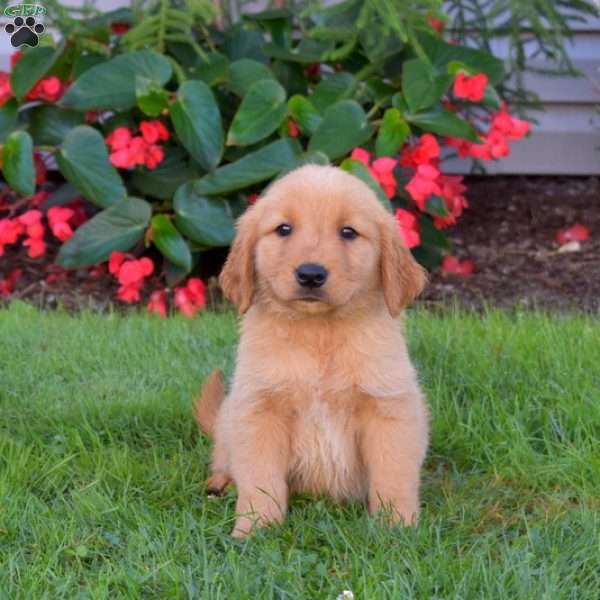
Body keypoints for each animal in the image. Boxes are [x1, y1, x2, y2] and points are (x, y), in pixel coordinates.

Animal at [195, 165, 428, 540]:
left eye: (348, 232)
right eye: (283, 229)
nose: (310, 274)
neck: (319, 333)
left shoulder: (390, 408)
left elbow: (393, 475)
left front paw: (397, 526)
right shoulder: (258, 408)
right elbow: (261, 479)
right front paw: (256, 527)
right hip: (230, 416)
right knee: (223, 456)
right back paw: (220, 481)